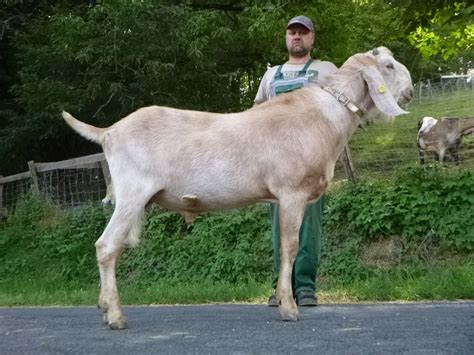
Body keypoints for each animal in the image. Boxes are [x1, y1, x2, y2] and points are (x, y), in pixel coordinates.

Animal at [62, 47, 412, 330]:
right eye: (388, 66)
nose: (409, 92)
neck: (325, 116)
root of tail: (108, 131)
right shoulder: (292, 192)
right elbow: (289, 247)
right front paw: (288, 308)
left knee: (115, 248)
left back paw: (105, 307)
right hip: (133, 192)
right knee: (106, 246)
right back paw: (115, 317)